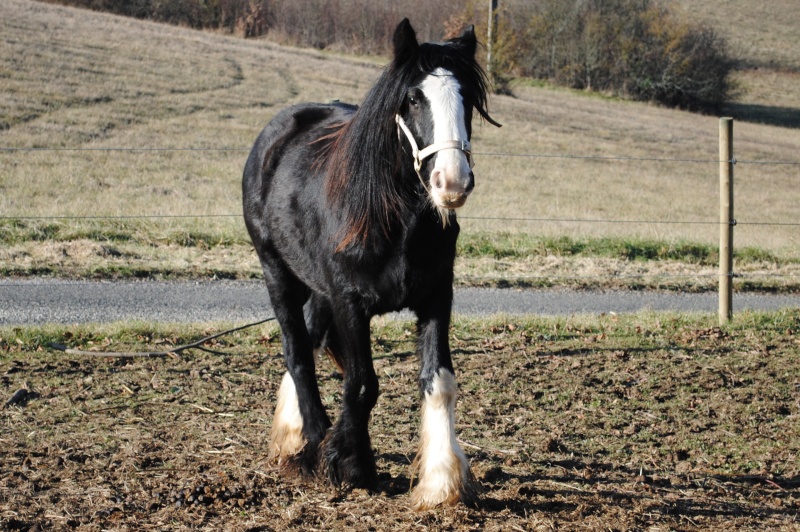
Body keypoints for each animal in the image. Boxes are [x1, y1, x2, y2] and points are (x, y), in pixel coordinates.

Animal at [241, 18, 496, 510]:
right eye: (413, 98)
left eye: (467, 101)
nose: (452, 182)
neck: (396, 221)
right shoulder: (350, 302)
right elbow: (362, 384)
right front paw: (350, 464)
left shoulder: (437, 297)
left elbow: (439, 381)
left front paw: (441, 483)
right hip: (277, 272)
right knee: (298, 352)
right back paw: (311, 442)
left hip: (318, 289)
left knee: (310, 340)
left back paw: (294, 433)